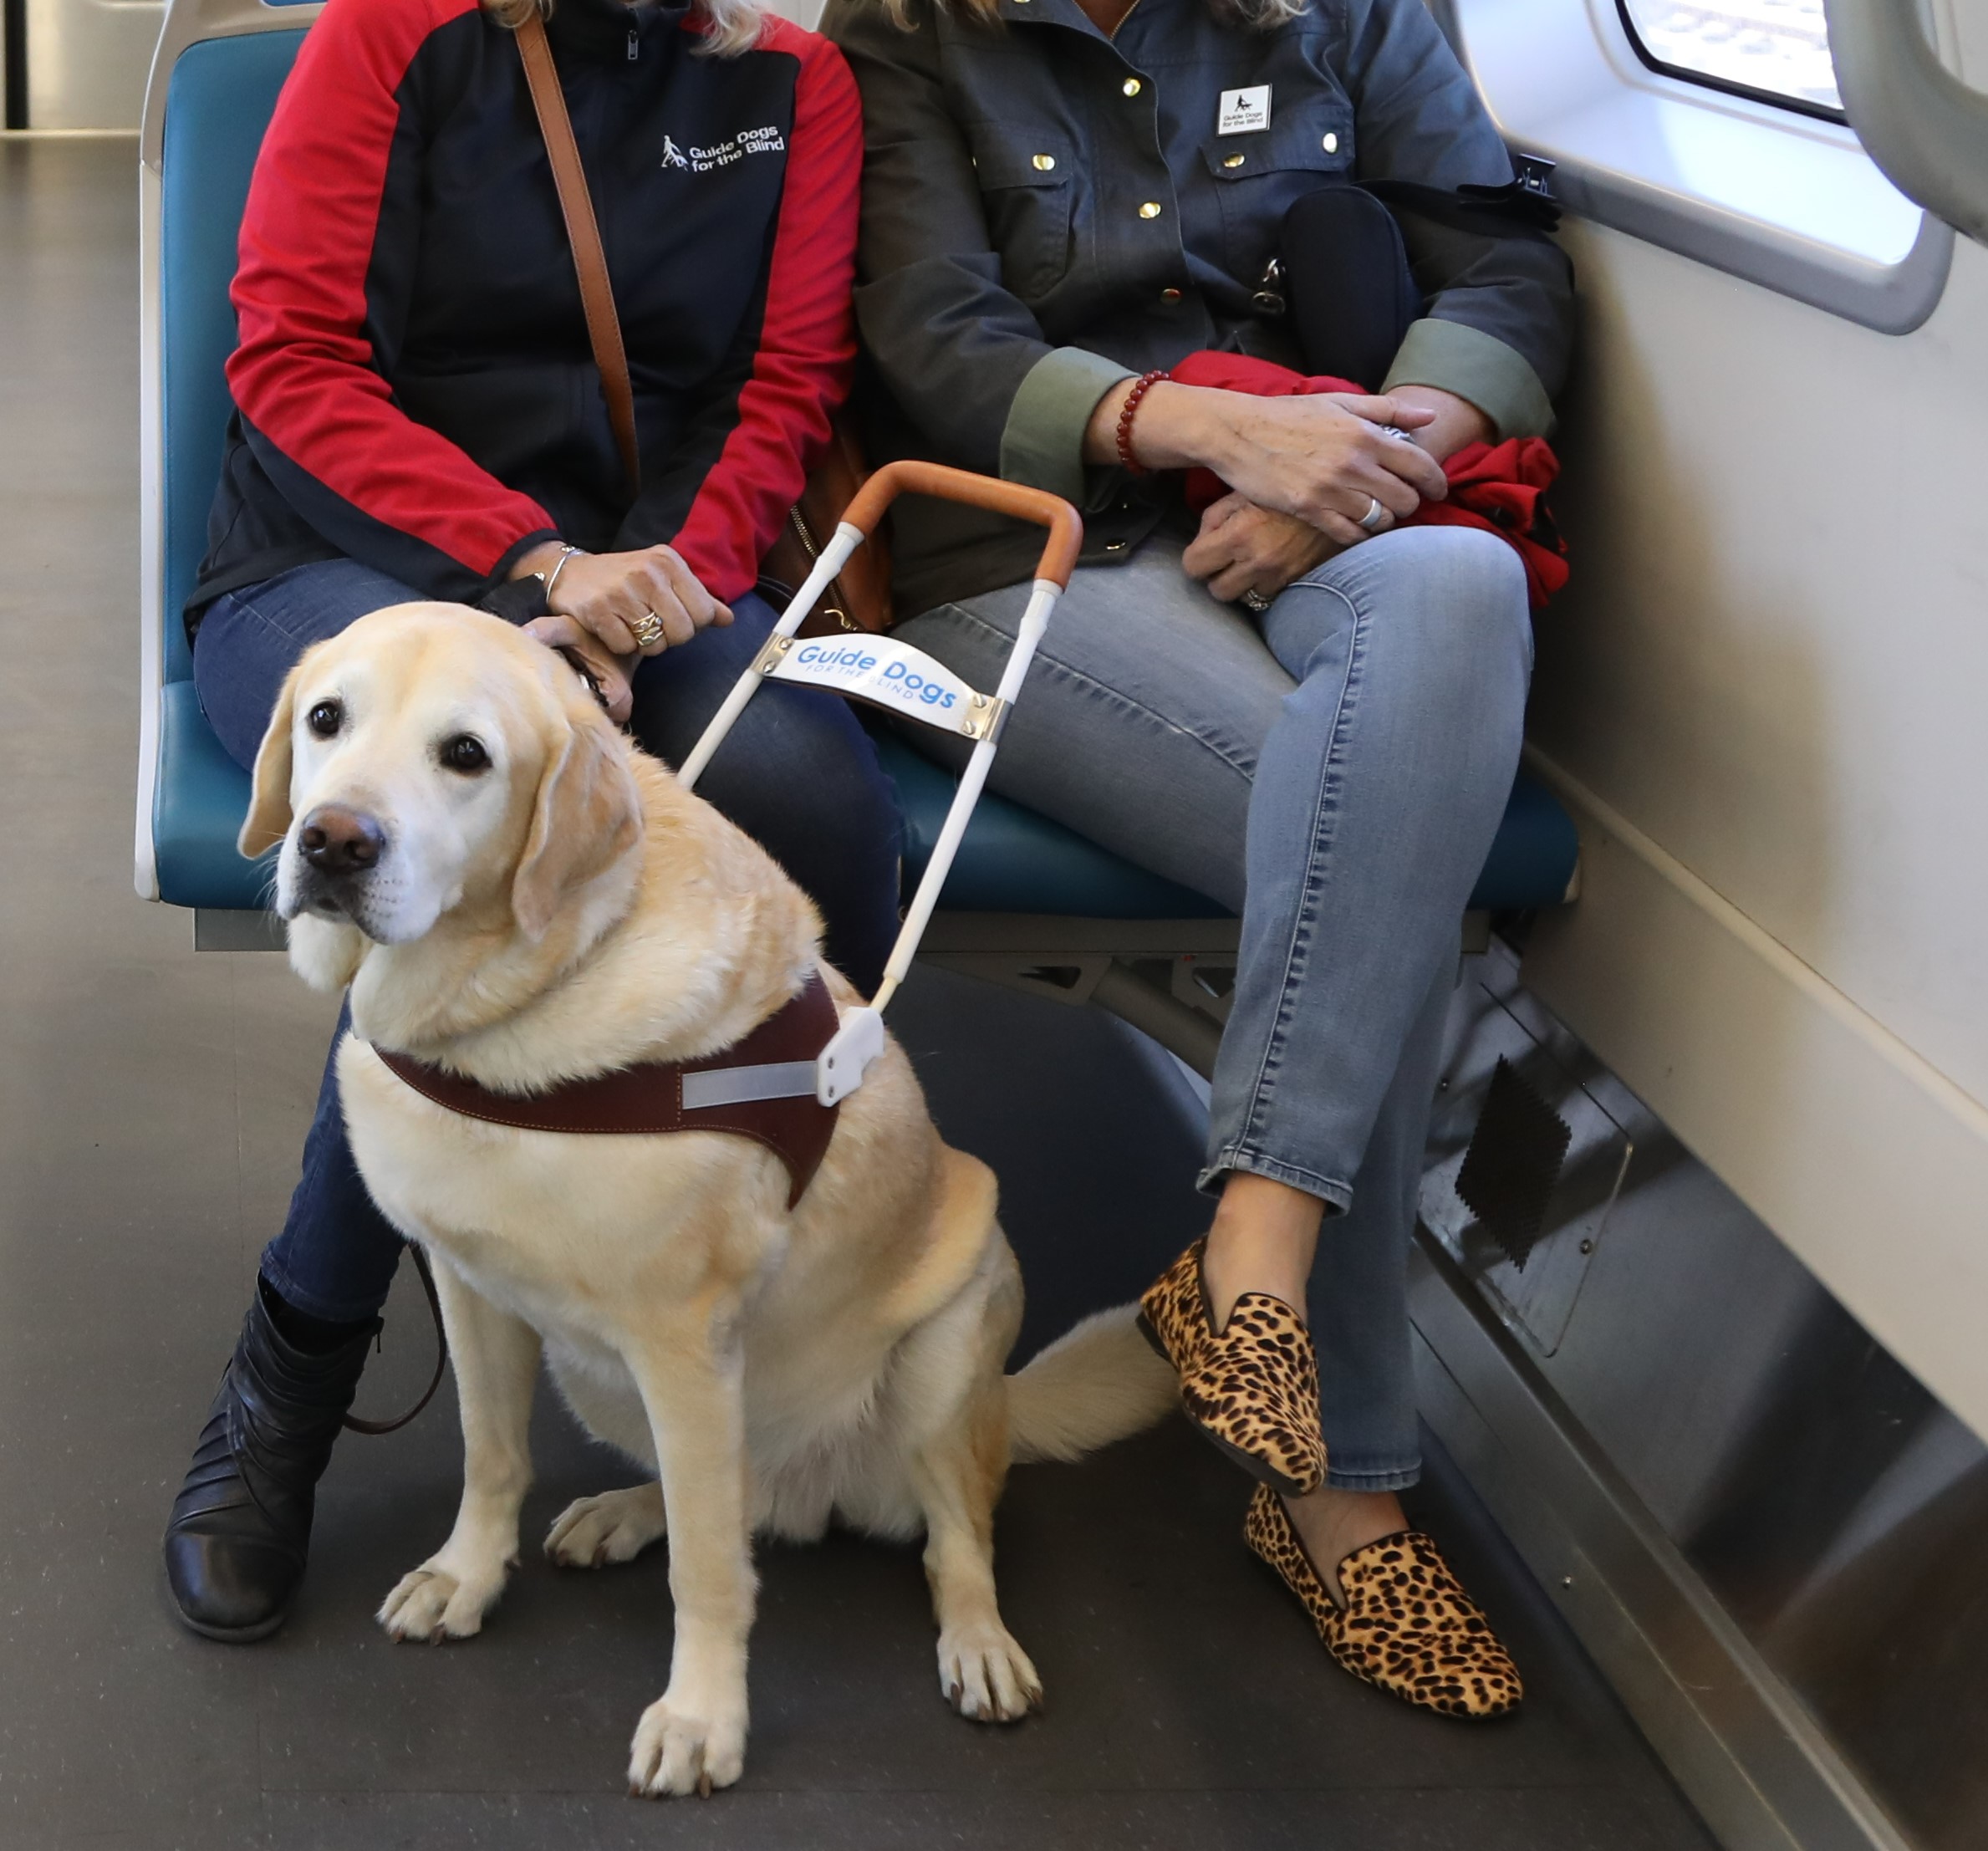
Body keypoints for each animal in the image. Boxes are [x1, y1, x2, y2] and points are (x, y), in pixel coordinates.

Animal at [244, 485, 1176, 1805]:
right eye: (326, 719)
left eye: (465, 756)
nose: (330, 841)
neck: (513, 1006)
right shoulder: (476, 1293)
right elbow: (490, 1454)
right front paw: (469, 1575)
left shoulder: (684, 1343)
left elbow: (708, 1577)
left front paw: (701, 1720)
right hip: (619, 1385)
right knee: (738, 1508)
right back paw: (626, 1510)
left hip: (946, 1356)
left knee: (942, 1539)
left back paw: (979, 1640)